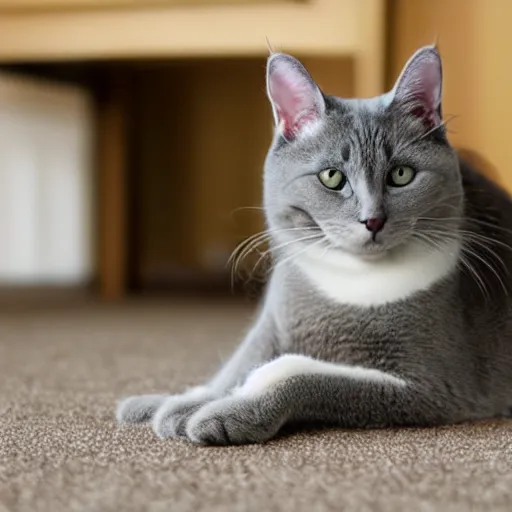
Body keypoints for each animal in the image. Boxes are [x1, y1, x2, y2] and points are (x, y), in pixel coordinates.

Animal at [116, 45, 512, 444]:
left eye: (401, 174)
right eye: (332, 176)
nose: (372, 220)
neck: (350, 283)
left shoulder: (431, 386)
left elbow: (304, 377)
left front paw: (227, 413)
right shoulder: (273, 320)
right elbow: (237, 366)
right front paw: (172, 402)